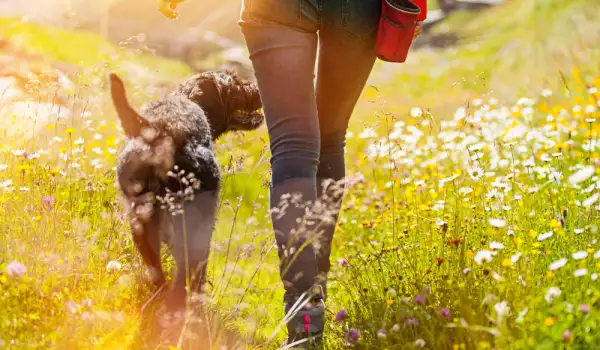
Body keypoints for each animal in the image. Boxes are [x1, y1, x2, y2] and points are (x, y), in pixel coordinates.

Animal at [110, 70, 264, 308]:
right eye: (235, 81)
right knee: (187, 271)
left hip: (141, 222)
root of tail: (159, 131)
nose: (258, 89)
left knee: (156, 269)